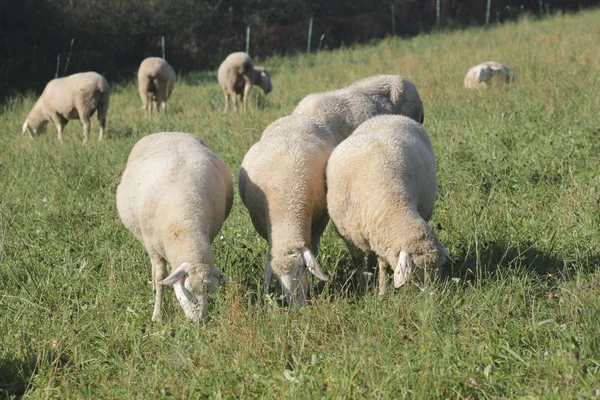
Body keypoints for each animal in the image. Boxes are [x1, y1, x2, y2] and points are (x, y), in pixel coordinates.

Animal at [116, 132, 233, 322]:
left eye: (210, 294)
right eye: (189, 292)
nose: (199, 322)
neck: (185, 223)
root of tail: (168, 132)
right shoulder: (154, 247)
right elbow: (160, 278)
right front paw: (157, 315)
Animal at [324, 114, 450, 296]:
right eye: (419, 268)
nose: (435, 294)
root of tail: (392, 116)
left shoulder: (383, 237)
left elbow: (384, 265)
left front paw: (382, 292)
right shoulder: (349, 236)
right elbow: (358, 263)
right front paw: (363, 287)